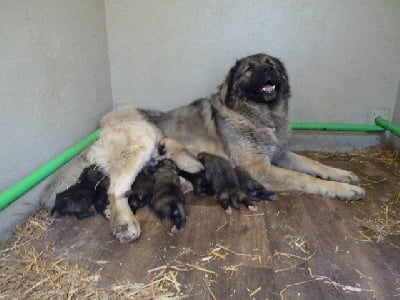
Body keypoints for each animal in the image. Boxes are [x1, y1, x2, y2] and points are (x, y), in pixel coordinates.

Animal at [43, 52, 366, 243]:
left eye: (271, 65)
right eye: (249, 69)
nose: (267, 73)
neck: (258, 115)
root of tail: (101, 128)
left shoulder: (280, 154)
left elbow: (313, 165)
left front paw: (342, 175)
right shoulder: (260, 168)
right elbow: (305, 178)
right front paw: (344, 190)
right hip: (143, 139)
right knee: (115, 188)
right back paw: (124, 223)